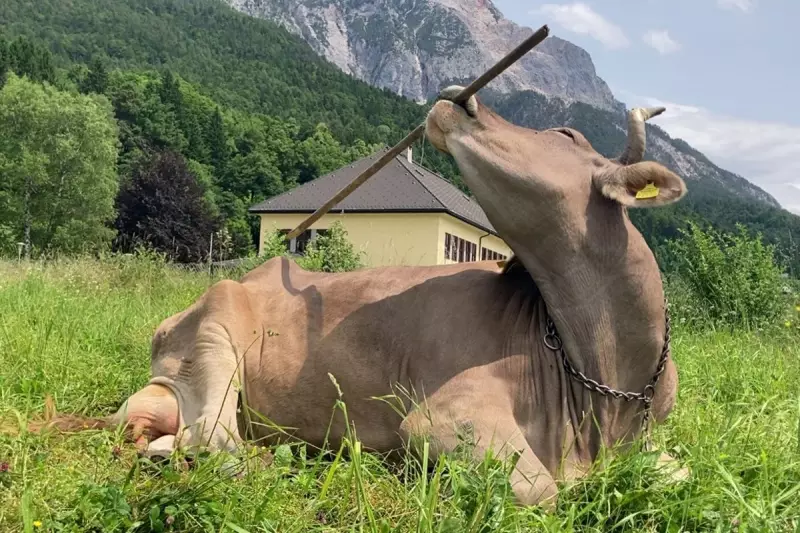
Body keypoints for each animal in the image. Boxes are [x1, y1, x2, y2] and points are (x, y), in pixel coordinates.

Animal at [30, 86, 688, 508]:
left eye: (563, 133)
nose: (460, 95)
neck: (603, 383)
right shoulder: (442, 417)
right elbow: (542, 492)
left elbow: (677, 474)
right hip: (213, 336)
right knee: (217, 443)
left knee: (182, 440)